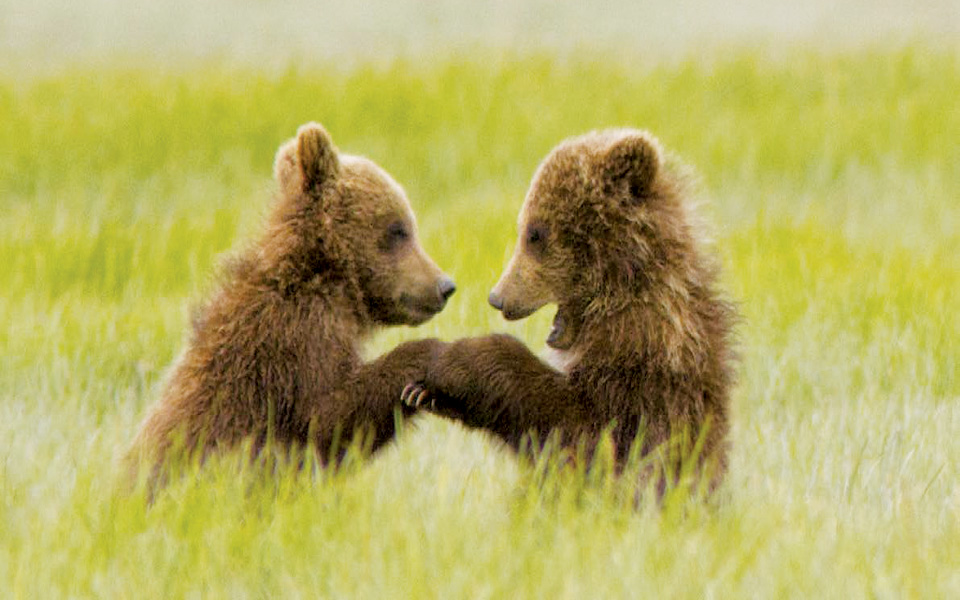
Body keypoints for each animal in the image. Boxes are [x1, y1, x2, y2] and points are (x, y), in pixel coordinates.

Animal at [126, 122, 455, 489]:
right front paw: (428, 354)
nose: (444, 286)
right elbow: (326, 418)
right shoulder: (297, 339)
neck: (330, 280)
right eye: (399, 229)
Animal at [403, 129, 737, 494]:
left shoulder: (643, 366)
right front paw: (421, 391)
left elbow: (581, 430)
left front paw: (446, 364)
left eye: (535, 234)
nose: (498, 298)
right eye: (526, 228)